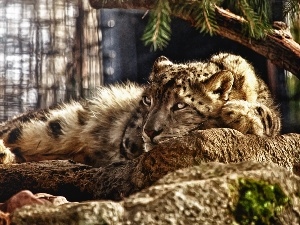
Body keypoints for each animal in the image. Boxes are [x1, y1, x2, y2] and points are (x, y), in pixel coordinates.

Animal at [0, 52, 282, 165]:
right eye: (148, 100)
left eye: (180, 105)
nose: (149, 131)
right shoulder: (129, 140)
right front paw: (231, 114)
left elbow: (270, 117)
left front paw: (239, 113)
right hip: (52, 126)